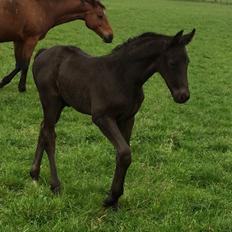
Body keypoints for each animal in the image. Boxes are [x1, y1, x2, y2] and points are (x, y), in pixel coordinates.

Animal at [29, 28, 195, 208]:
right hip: (51, 101)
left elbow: (122, 154)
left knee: (43, 128)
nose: (183, 96)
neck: (122, 76)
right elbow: (124, 152)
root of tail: (43, 53)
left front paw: (114, 200)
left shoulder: (128, 118)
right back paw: (55, 185)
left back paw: (34, 174)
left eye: (187, 61)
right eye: (172, 63)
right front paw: (111, 197)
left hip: (59, 104)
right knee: (49, 135)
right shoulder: (102, 117)